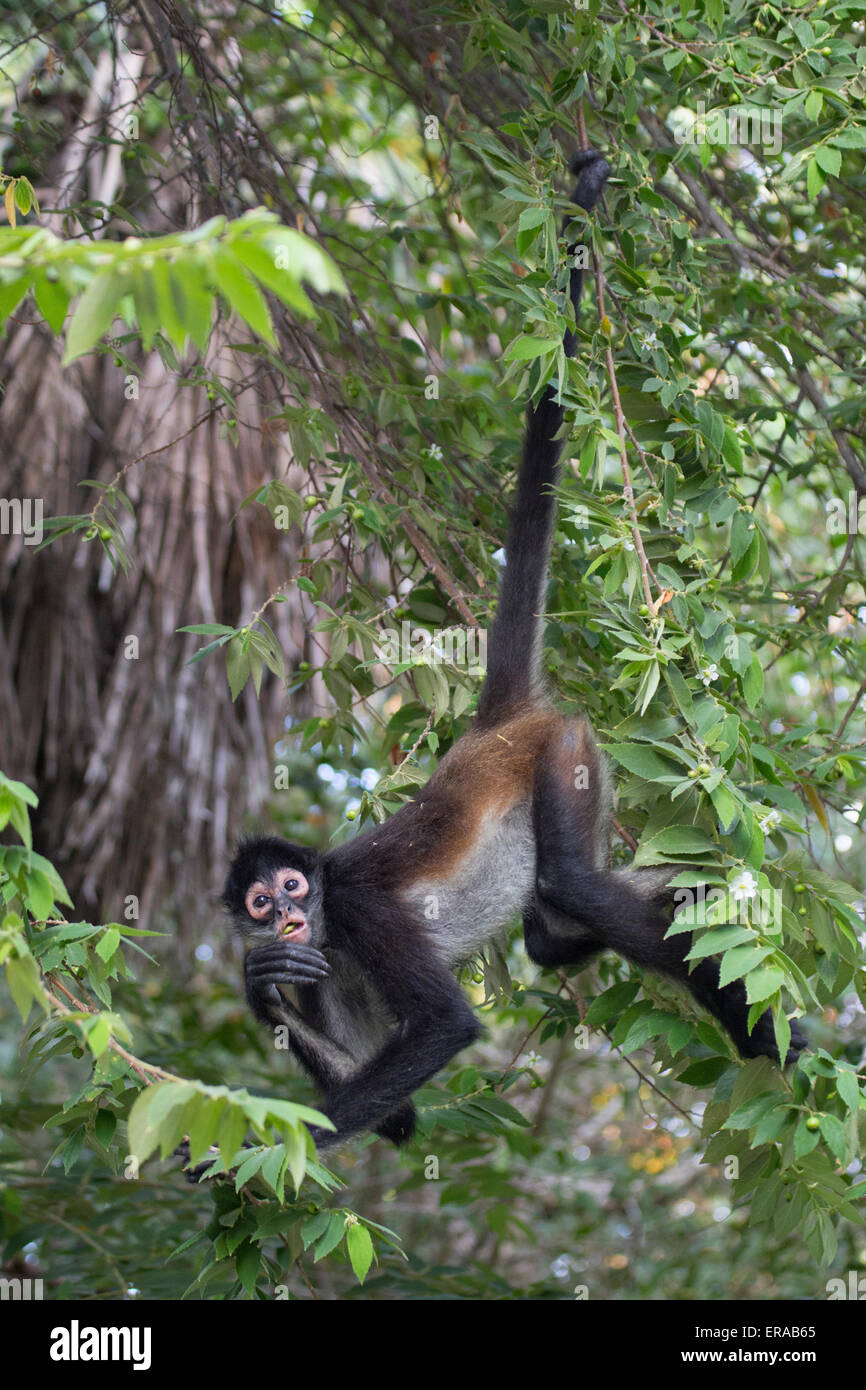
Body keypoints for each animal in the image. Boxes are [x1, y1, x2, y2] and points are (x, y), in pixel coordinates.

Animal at [222, 149, 806, 1150]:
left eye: (297, 886)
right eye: (263, 905)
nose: (288, 916)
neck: (329, 915)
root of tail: (491, 727)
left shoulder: (361, 911)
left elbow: (447, 1026)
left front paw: (234, 1160)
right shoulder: (326, 960)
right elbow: (399, 1119)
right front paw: (262, 989)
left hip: (561, 753)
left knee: (570, 879)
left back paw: (750, 1019)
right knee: (554, 921)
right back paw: (672, 907)